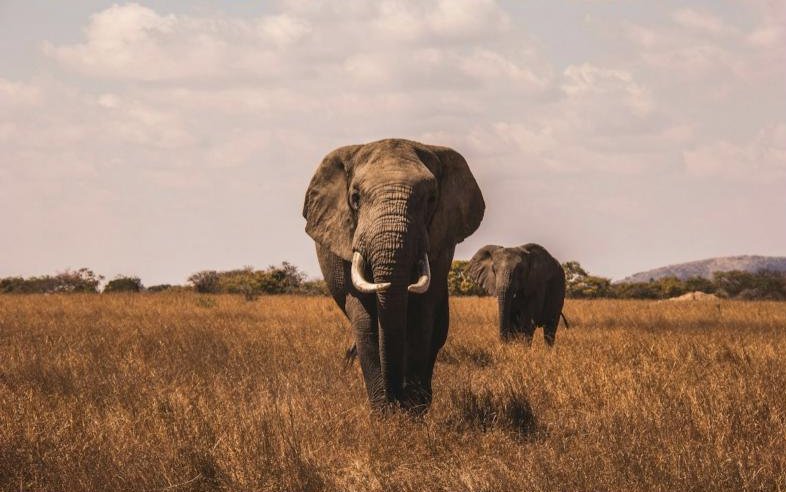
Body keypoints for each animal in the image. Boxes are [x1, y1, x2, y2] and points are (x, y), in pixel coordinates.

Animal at [302, 138, 485, 412]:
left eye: (431, 199)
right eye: (355, 198)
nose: (396, 398)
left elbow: (422, 316)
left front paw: (412, 411)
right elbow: (366, 320)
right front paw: (385, 413)